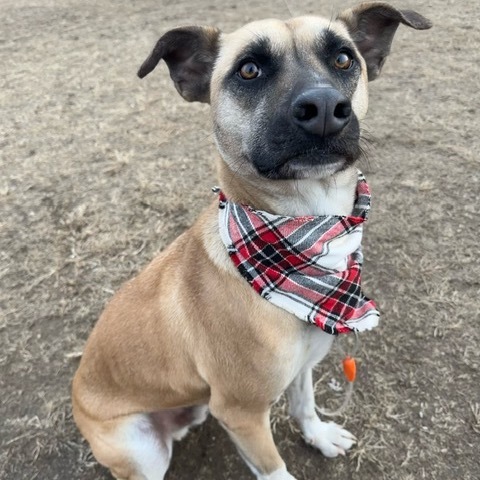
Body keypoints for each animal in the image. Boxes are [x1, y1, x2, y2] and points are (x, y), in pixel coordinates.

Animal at [71, 4, 432, 480]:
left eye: (342, 59)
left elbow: (304, 405)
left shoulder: (301, 366)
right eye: (249, 70)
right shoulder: (240, 413)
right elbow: (274, 468)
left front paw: (318, 436)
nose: (323, 107)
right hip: (140, 448)